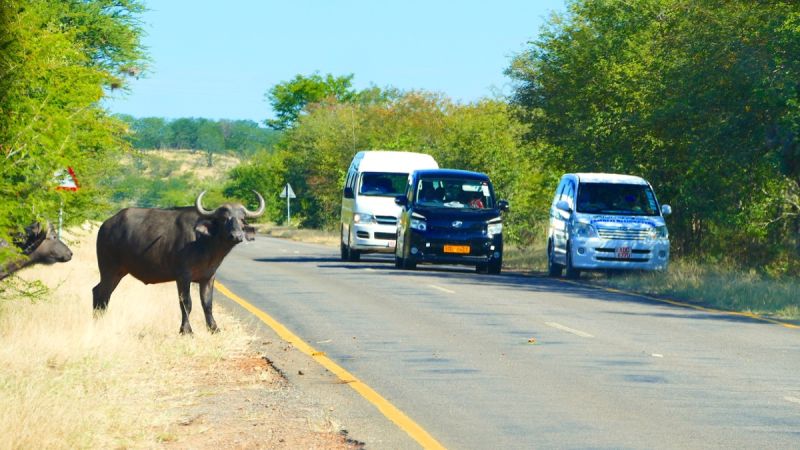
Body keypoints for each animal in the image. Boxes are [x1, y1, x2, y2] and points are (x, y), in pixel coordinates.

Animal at [92, 191, 264, 334]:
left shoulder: (208, 277)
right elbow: (186, 303)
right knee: (101, 292)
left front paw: (214, 328)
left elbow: (207, 303)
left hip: (119, 272)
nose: (236, 236)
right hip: (108, 269)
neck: (204, 243)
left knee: (101, 292)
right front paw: (186, 330)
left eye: (242, 219)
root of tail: (106, 225)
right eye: (224, 219)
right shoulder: (183, 277)